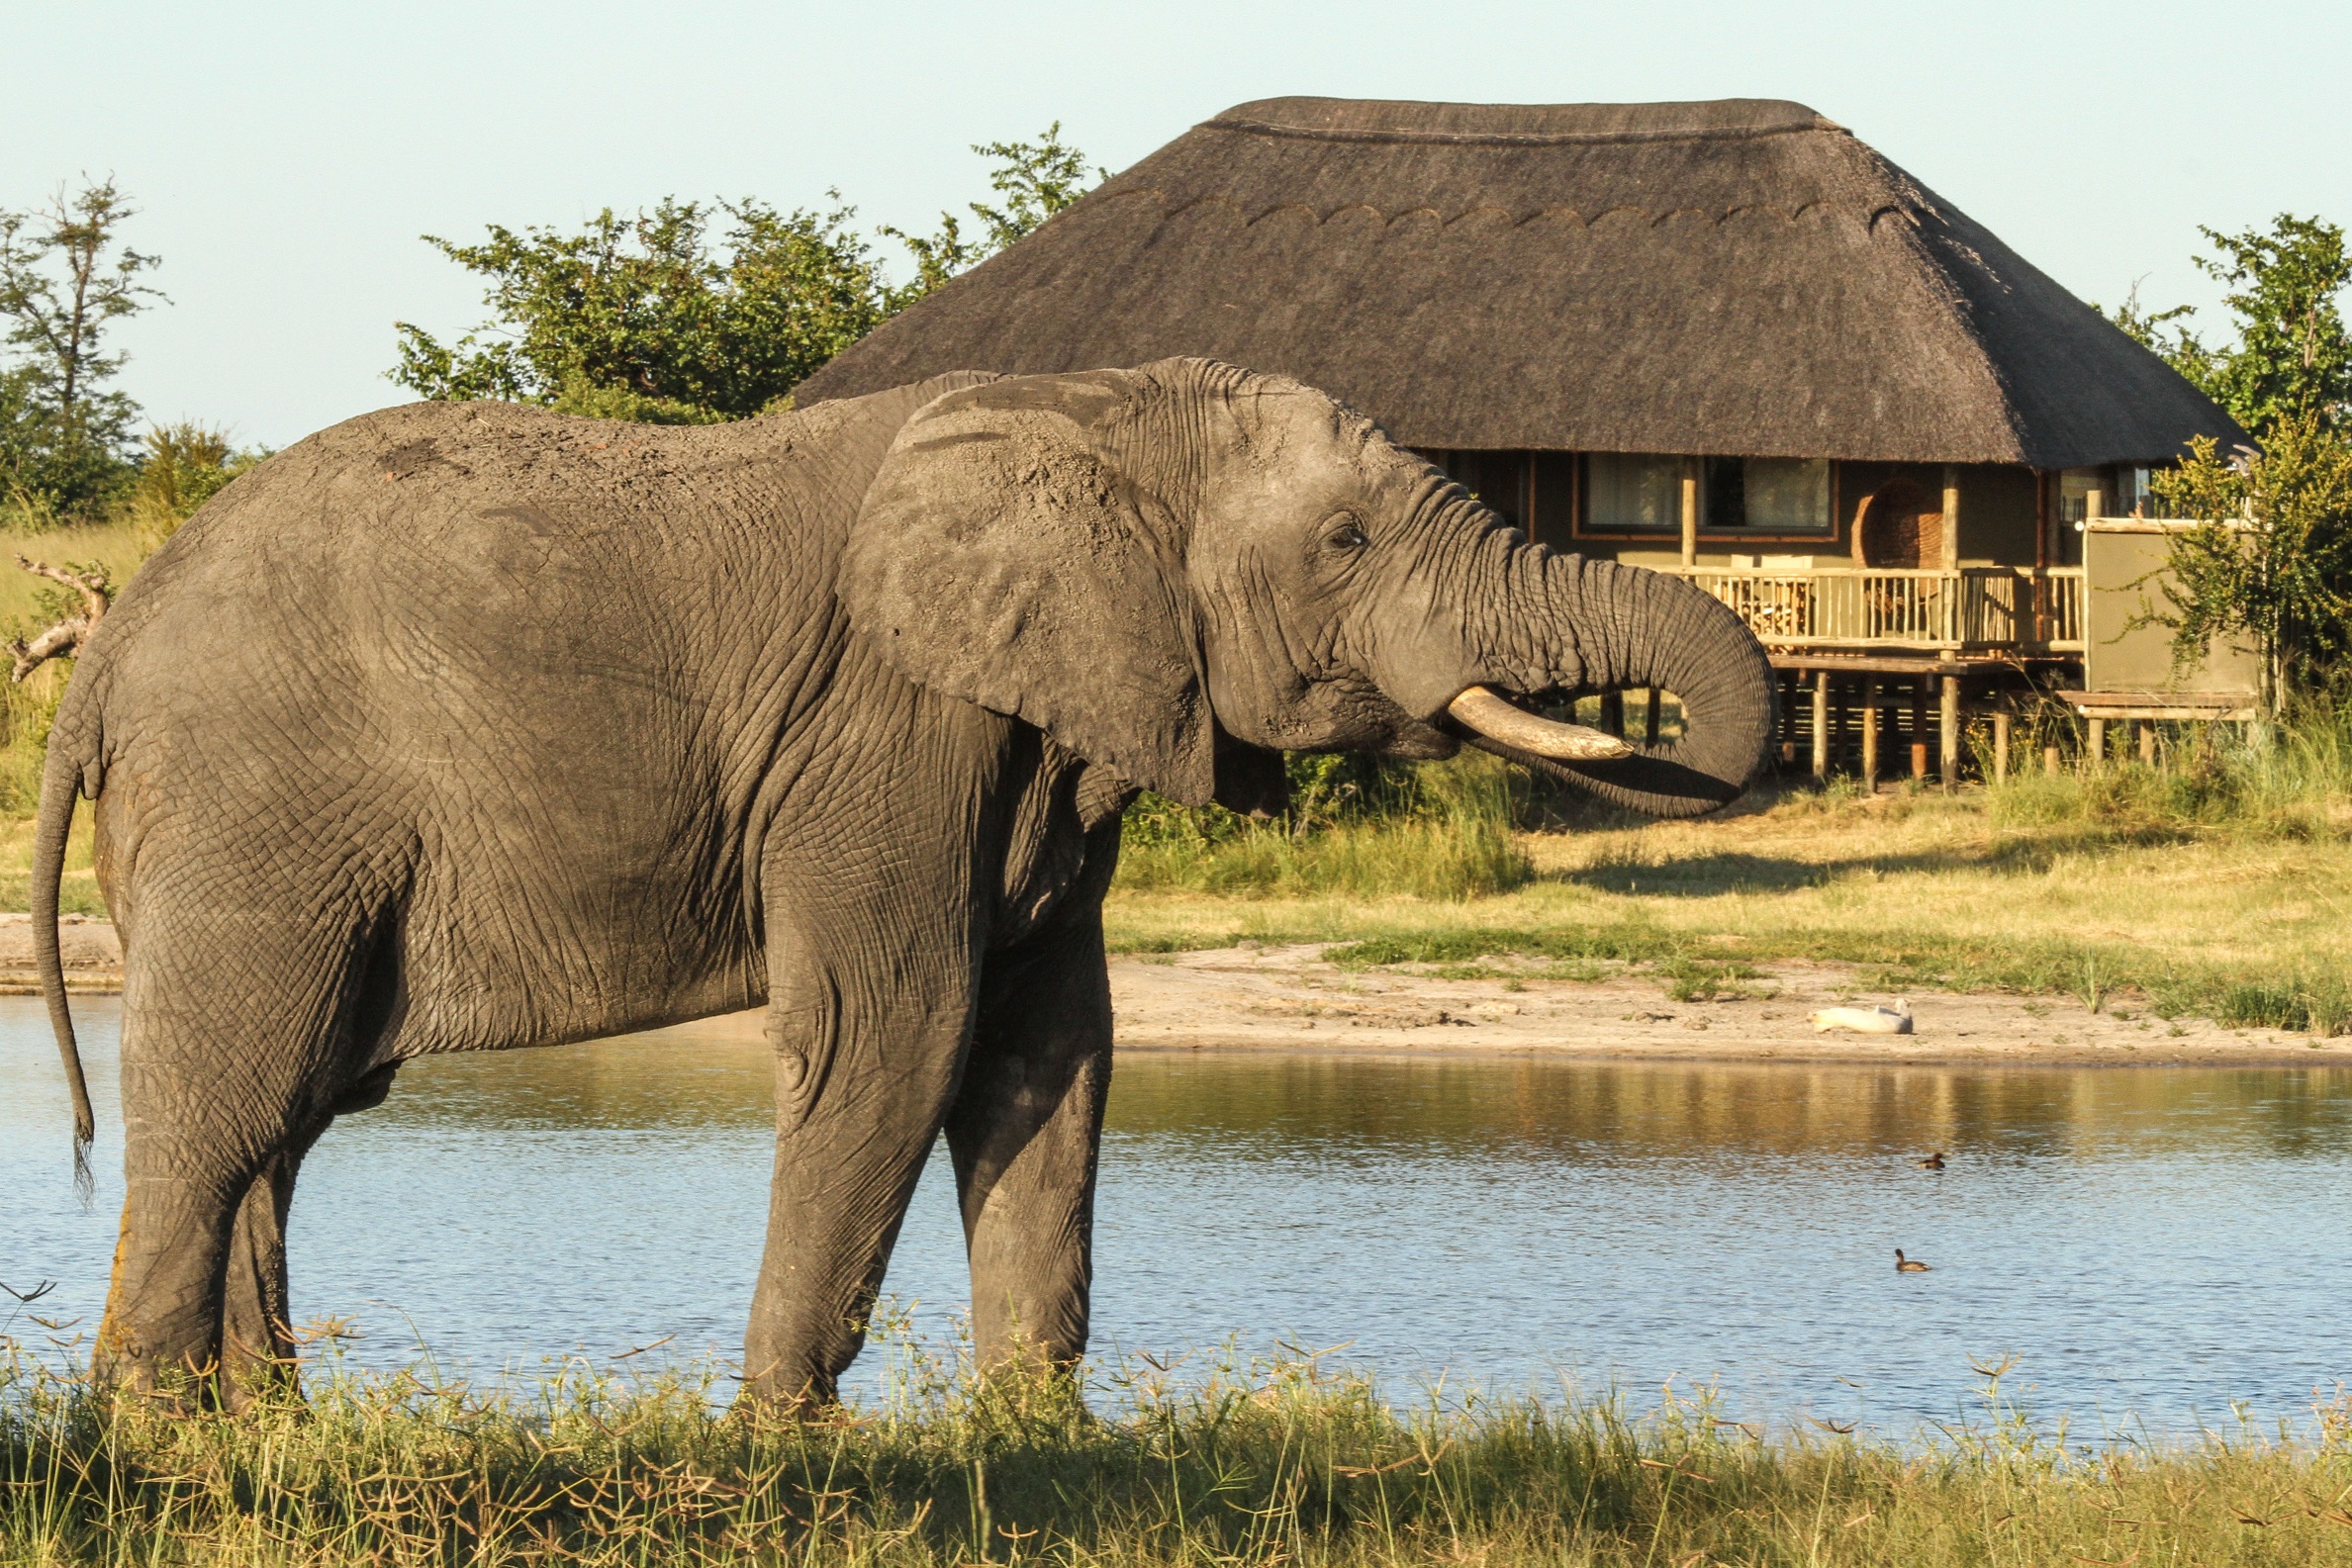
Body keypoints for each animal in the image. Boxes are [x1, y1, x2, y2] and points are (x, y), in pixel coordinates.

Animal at [32, 356, 1773, 1407]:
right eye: (1344, 539)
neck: (1100, 413)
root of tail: (108, 644)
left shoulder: (1040, 737)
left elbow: (1051, 1058)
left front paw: (1044, 1439)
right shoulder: (889, 726)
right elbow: (897, 1032)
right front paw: (775, 1442)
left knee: (285, 1111)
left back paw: (261, 1424)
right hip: (262, 806)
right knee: (232, 1098)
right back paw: (158, 1434)